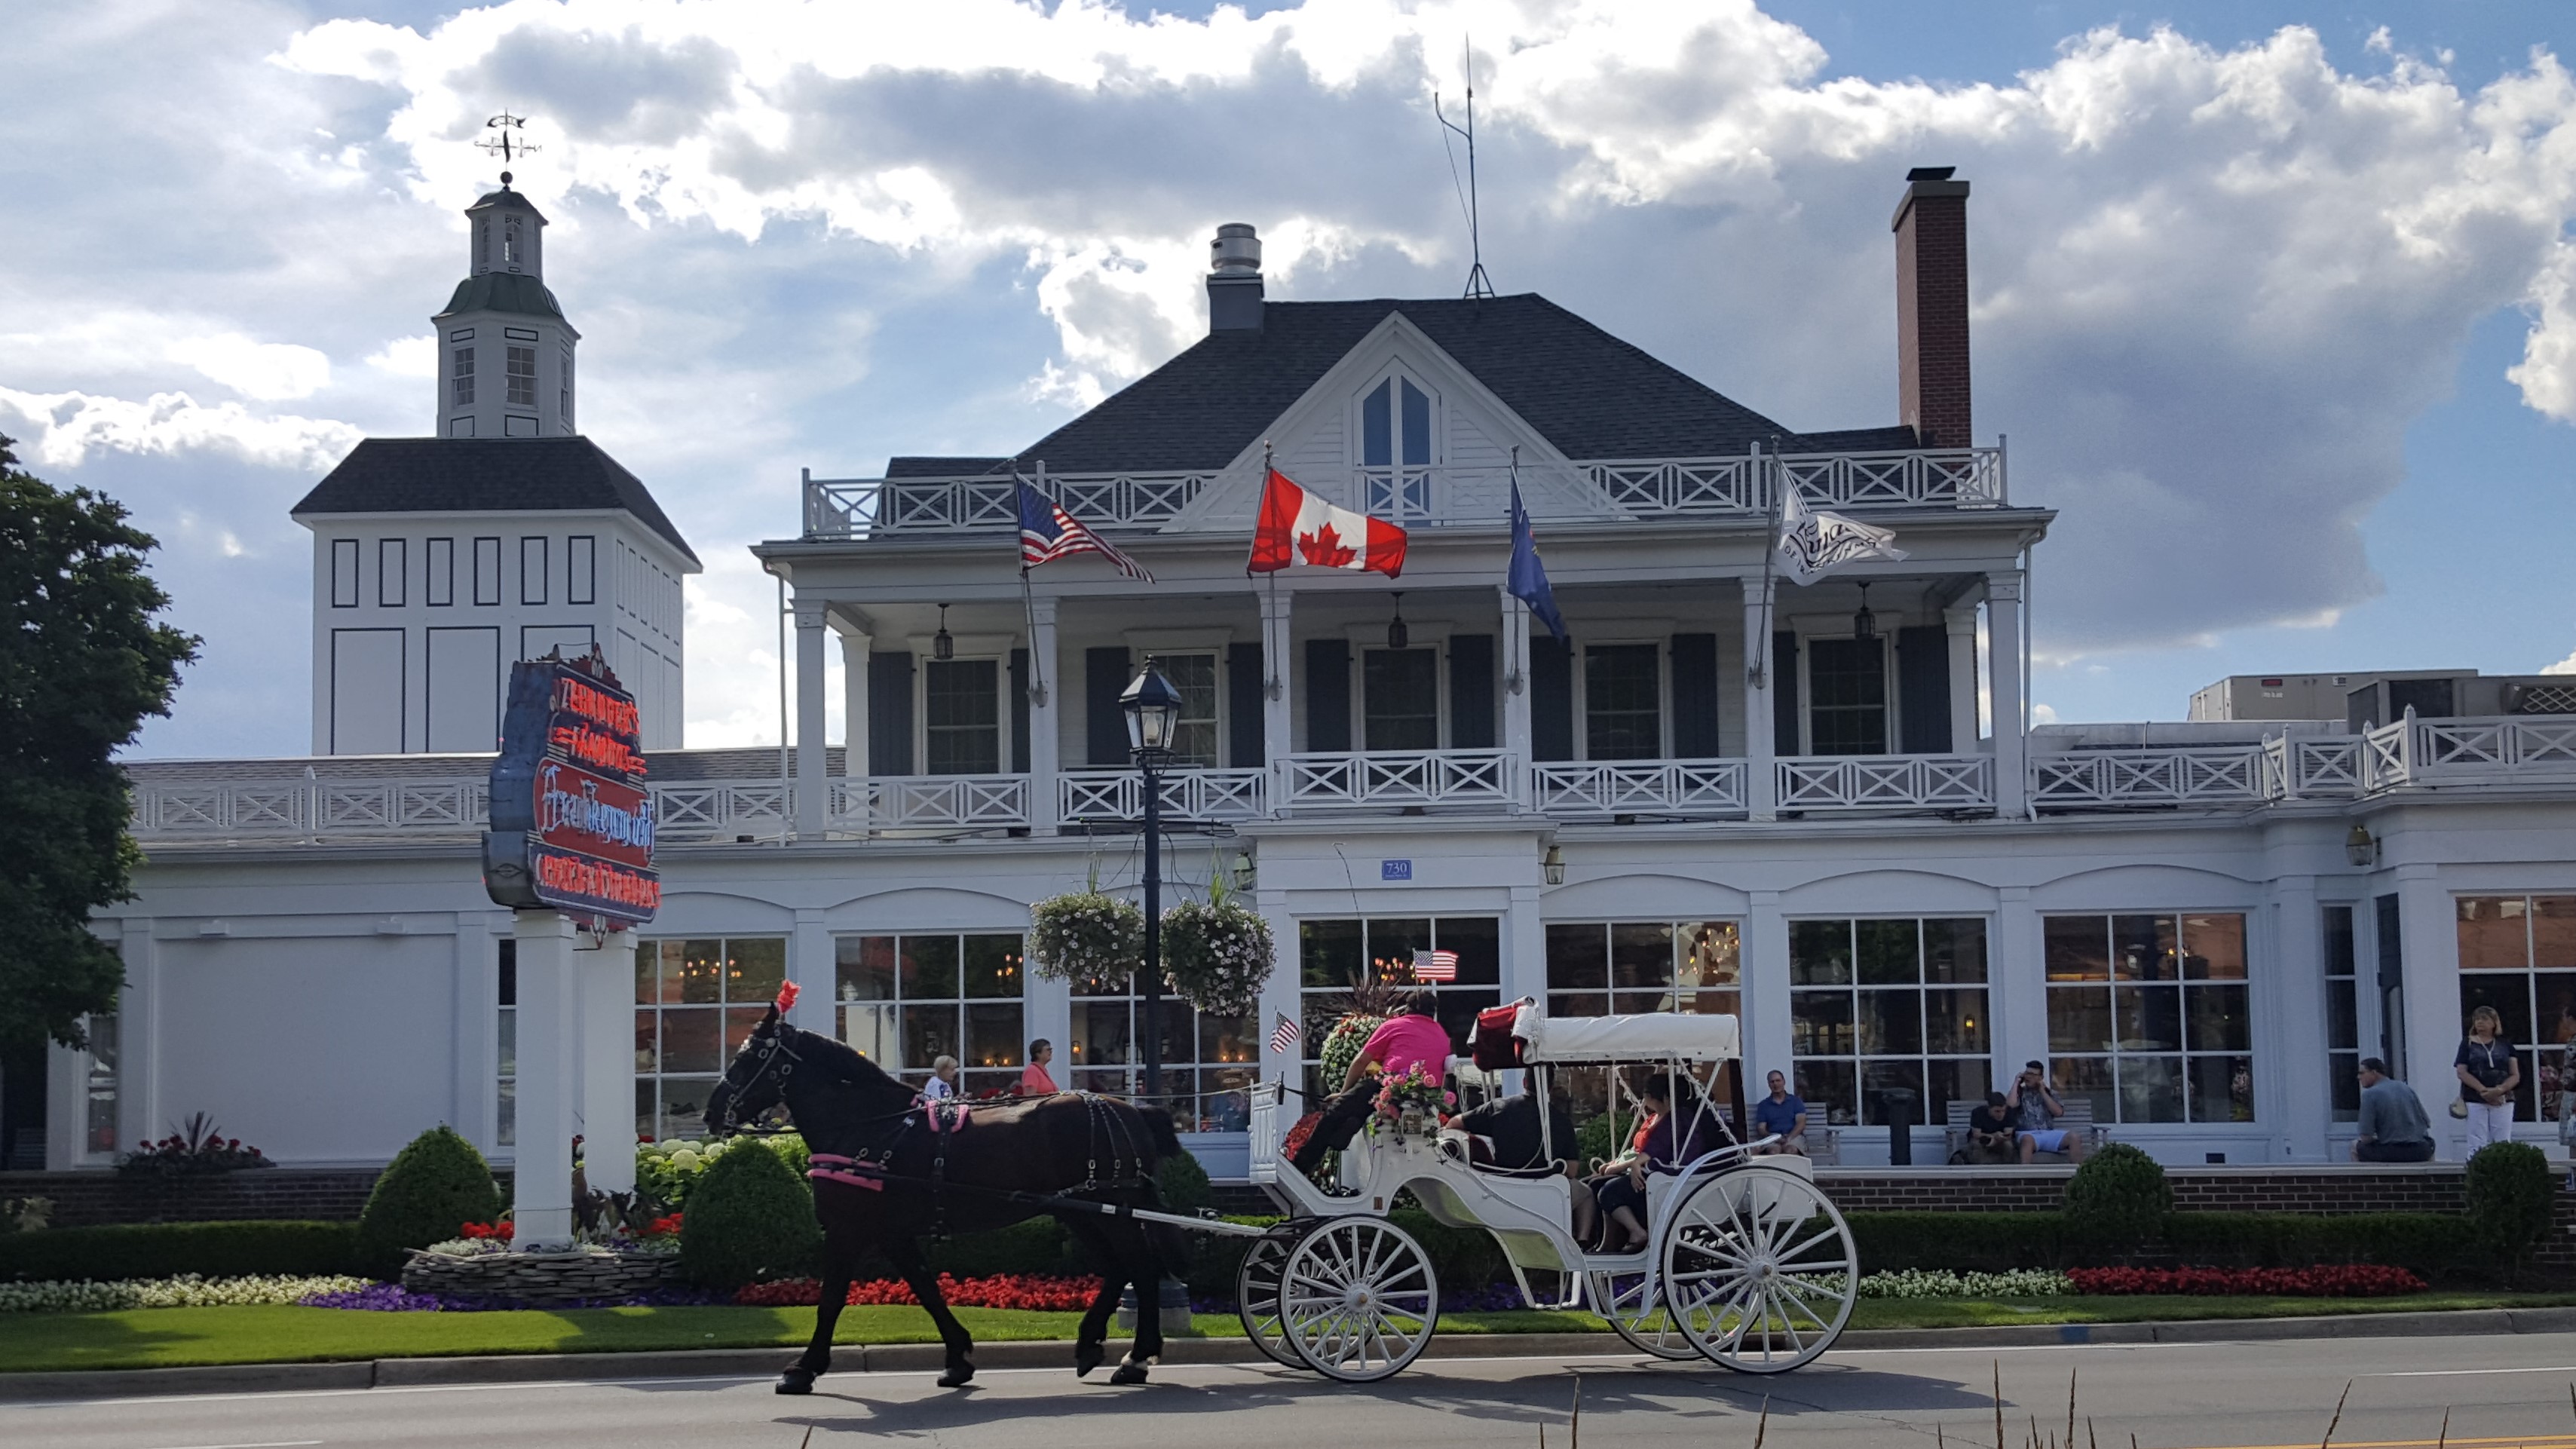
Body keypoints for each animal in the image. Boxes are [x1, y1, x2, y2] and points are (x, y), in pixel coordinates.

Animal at [706, 1005, 1184, 1392]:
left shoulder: (848, 1229)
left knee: (1140, 1270)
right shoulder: (891, 1233)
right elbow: (926, 1289)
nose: (712, 1113)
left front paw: (802, 1369)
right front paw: (957, 1359)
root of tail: (1133, 1110)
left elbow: (831, 1301)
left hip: (1110, 1212)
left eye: (750, 1057)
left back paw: (1136, 1358)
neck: (870, 1125)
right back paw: (1093, 1346)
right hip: (1081, 1213)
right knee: (1120, 1268)